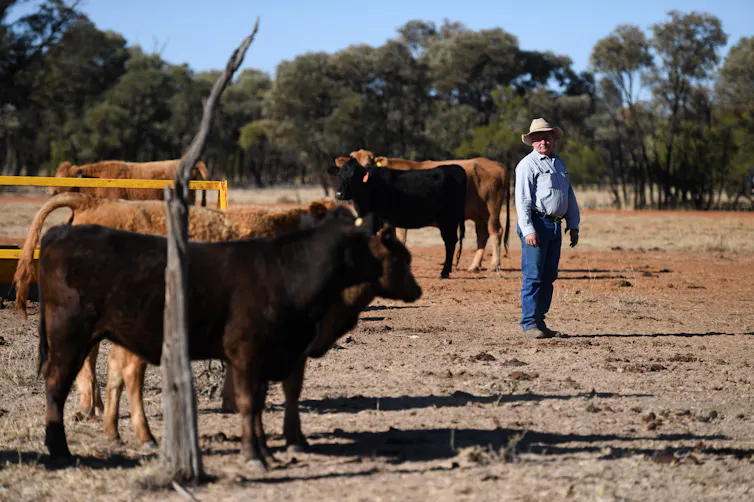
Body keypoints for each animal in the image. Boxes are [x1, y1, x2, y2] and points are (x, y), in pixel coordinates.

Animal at [36, 210, 384, 469]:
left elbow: (265, 399)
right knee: (58, 383)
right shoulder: (250, 354)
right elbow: (251, 400)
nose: (383, 269)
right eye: (366, 244)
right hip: (69, 338)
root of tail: (62, 233)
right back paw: (61, 448)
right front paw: (257, 453)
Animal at [103, 222, 422, 450]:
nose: (417, 290)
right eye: (402, 259)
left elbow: (278, 390)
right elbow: (283, 390)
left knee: (116, 369)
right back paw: (144, 436)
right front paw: (289, 439)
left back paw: (113, 430)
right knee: (131, 374)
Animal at [329, 156, 467, 279]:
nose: (339, 194)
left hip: (449, 220)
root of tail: (454, 167)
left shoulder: (384, 220)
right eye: (339, 175)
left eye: (353, 176)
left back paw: (445, 272)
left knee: (450, 242)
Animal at [336, 149, 511, 272]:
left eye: (369, 161)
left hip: (491, 211)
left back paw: (494, 264)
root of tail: (497, 165)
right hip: (479, 216)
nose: (340, 193)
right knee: (482, 235)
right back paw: (474, 266)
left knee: (496, 231)